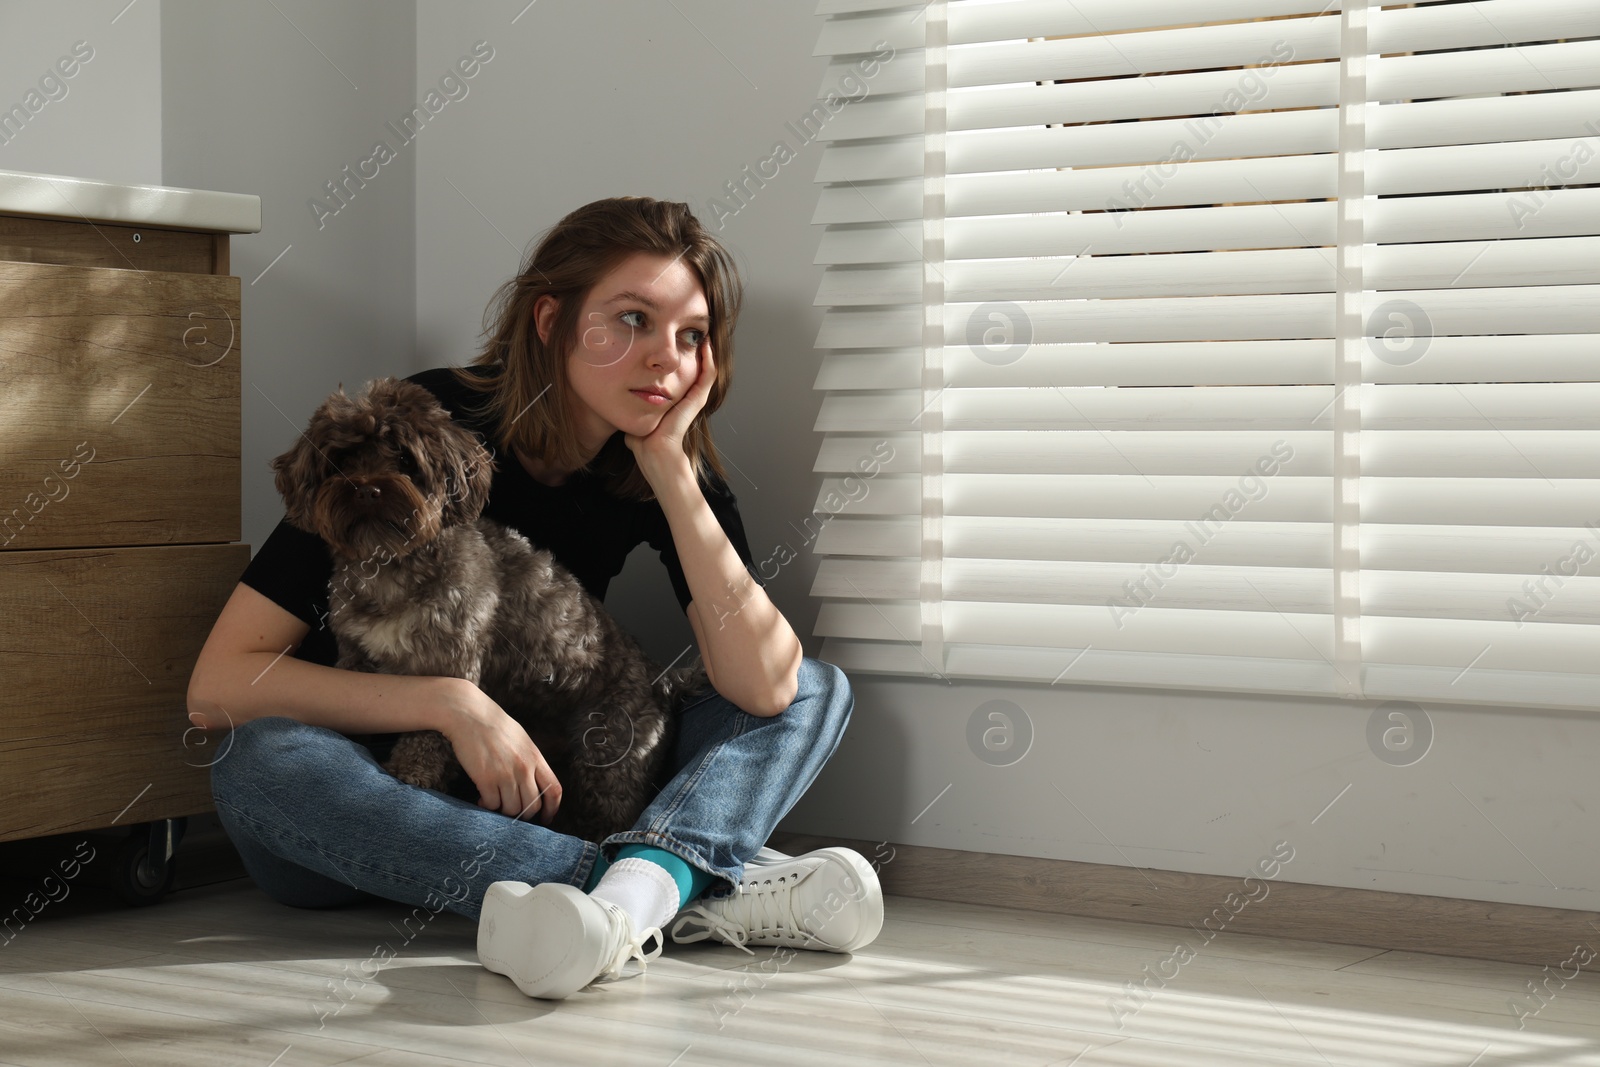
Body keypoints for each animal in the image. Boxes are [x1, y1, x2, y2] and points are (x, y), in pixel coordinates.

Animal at [268, 375, 707, 844]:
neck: (389, 564)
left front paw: (413, 770)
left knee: (606, 820)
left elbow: (433, 727)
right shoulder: (356, 656)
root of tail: (661, 678)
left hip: (609, 757)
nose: (367, 488)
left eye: (404, 458)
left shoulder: (449, 663)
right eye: (343, 458)